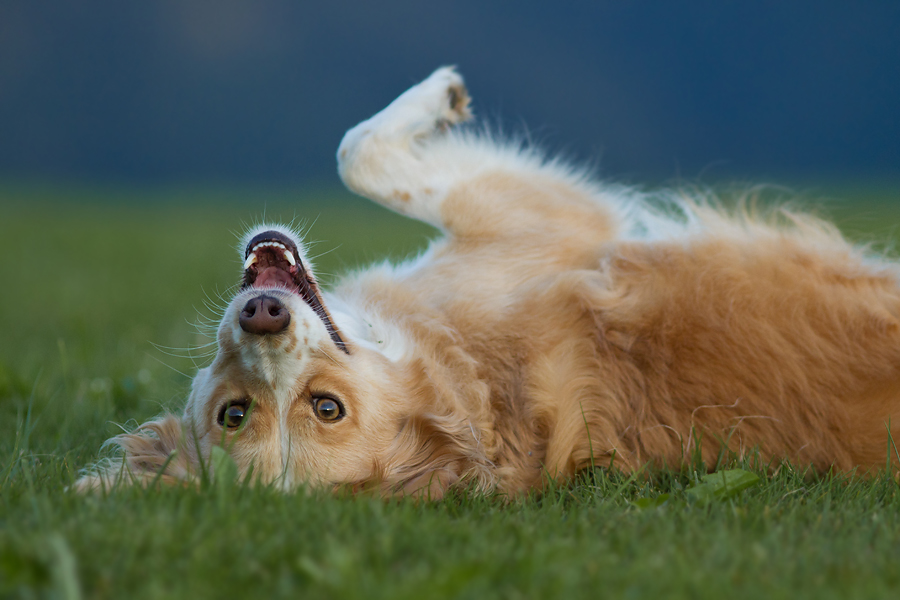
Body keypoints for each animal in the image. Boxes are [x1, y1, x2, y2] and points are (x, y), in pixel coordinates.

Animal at [79, 65, 900, 496]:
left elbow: (353, 150)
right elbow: (363, 151)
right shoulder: (545, 216)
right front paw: (441, 97)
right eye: (239, 413)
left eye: (324, 408)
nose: (263, 316)